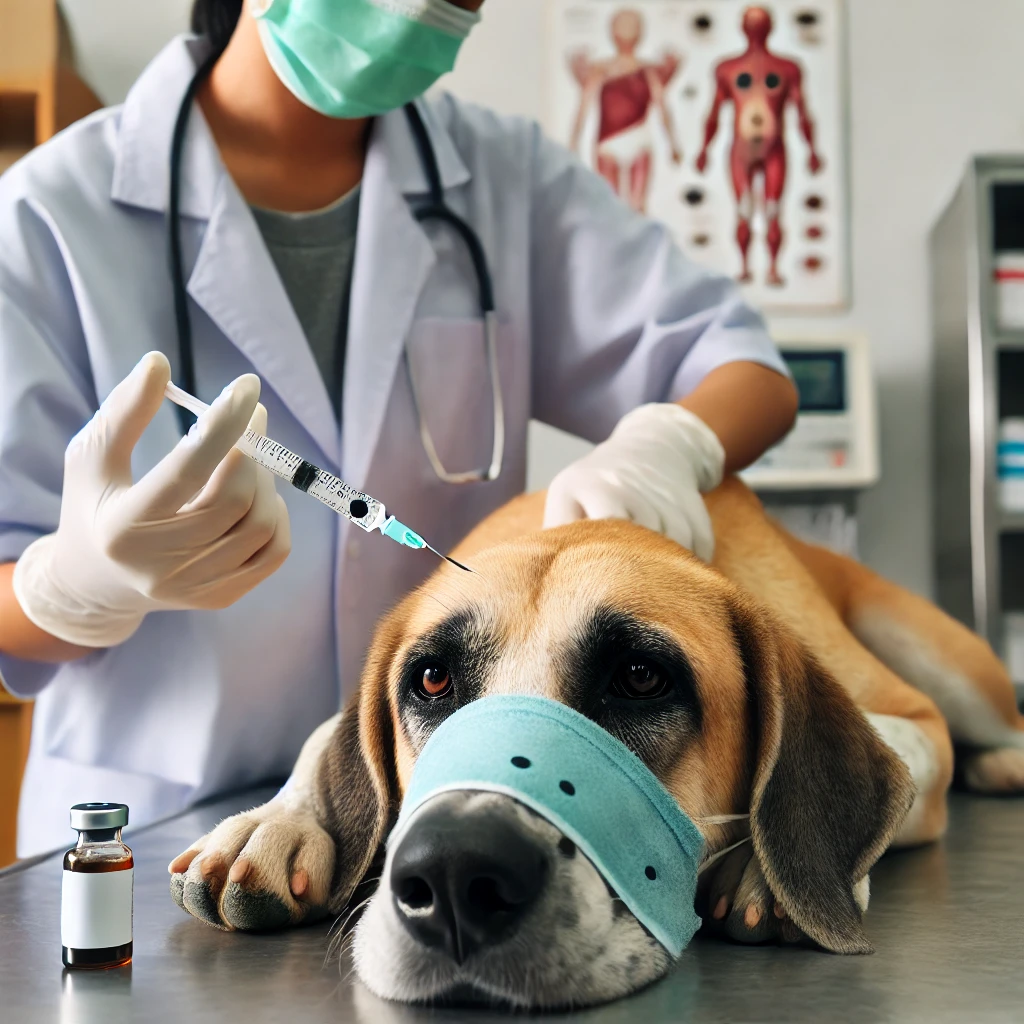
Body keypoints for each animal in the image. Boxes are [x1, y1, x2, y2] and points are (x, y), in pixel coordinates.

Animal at [167, 477, 1024, 1007]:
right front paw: (275, 823)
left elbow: (904, 754)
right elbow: (323, 731)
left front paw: (763, 864)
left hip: (942, 664)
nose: (452, 875)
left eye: (641, 678)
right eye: (432, 680)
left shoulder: (913, 719)